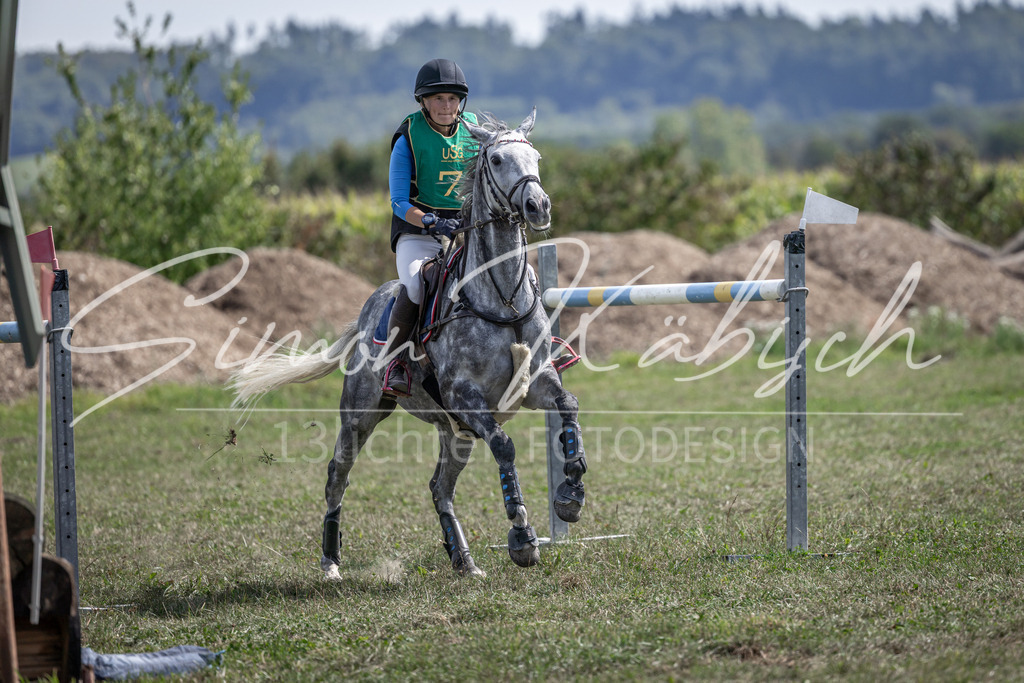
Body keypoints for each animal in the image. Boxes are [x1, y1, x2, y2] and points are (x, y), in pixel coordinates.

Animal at [229, 109, 588, 578]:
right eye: (496, 160)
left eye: (537, 158)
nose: (538, 206)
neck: (503, 299)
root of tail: (368, 309)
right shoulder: (466, 396)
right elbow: (505, 447)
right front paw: (523, 536)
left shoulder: (535, 383)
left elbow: (568, 406)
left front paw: (571, 496)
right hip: (362, 414)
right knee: (338, 474)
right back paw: (330, 560)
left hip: (455, 431)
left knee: (439, 487)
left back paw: (464, 560)